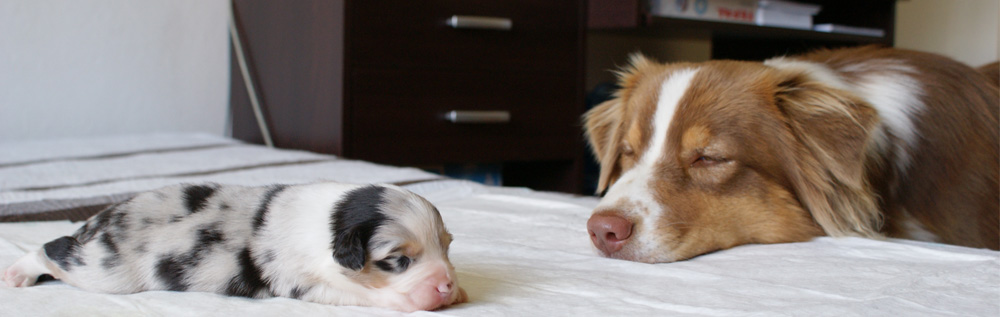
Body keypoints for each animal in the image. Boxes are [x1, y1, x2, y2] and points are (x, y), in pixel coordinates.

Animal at [0, 181, 468, 310]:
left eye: (447, 247)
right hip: (104, 271)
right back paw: (17, 273)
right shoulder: (305, 281)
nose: (445, 286)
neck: (330, 220)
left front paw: (460, 289)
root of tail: (99, 219)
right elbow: (362, 293)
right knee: (51, 250)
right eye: (399, 260)